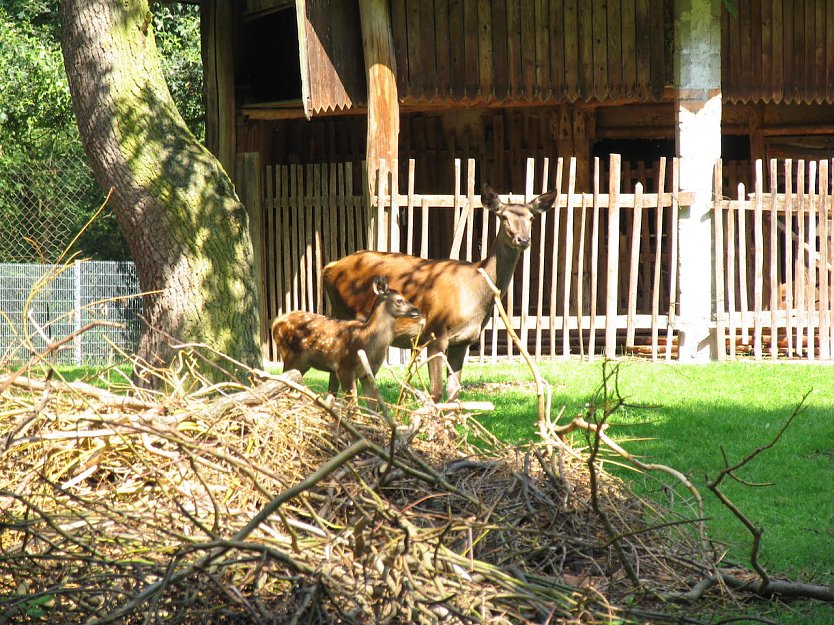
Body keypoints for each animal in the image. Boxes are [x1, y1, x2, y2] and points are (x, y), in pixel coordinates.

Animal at [272, 276, 421, 402]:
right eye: (399, 300)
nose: (416, 310)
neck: (367, 339)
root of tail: (275, 322)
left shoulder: (369, 372)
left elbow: (371, 402)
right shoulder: (345, 367)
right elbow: (353, 402)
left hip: (303, 363)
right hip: (289, 354)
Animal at [322, 183, 558, 403]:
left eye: (531, 218)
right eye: (504, 217)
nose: (523, 240)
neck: (475, 295)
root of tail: (328, 268)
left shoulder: (463, 341)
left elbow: (454, 393)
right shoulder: (434, 332)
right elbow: (435, 393)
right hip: (344, 314)